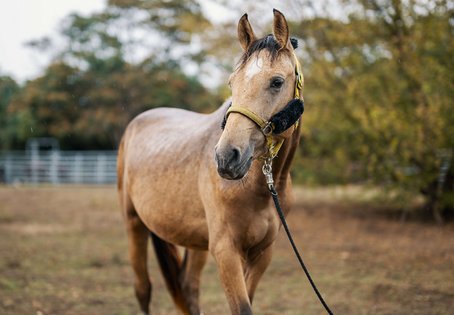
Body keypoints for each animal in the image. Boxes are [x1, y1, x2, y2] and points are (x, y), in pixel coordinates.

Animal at [118, 8, 306, 314]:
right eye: (232, 82)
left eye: (277, 82)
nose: (227, 157)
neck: (261, 188)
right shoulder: (226, 251)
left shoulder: (261, 254)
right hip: (134, 223)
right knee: (143, 289)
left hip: (195, 241)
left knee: (188, 289)